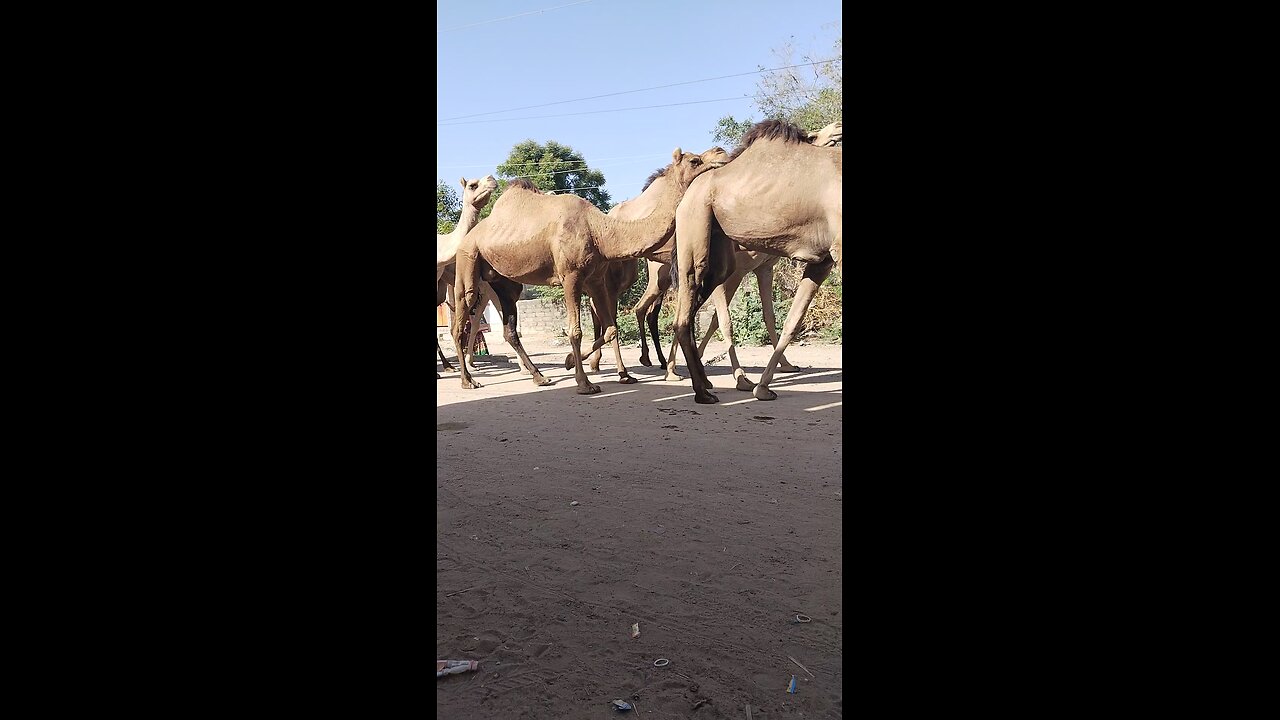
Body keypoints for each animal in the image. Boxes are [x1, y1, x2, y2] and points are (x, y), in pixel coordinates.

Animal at [450, 146, 732, 392]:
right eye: (695, 161)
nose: (721, 154)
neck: (600, 231)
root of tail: (469, 235)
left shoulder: (595, 279)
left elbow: (610, 329)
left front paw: (569, 362)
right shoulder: (571, 277)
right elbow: (575, 330)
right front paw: (585, 383)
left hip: (506, 282)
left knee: (510, 329)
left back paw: (540, 377)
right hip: (468, 260)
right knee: (459, 320)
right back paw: (468, 380)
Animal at [670, 121, 839, 404]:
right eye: (815, 135)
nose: (838, 128)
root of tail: (684, 199)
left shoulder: (822, 260)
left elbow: (792, 320)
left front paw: (763, 387)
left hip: (721, 258)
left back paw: (705, 381)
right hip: (694, 228)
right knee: (686, 310)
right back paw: (702, 392)